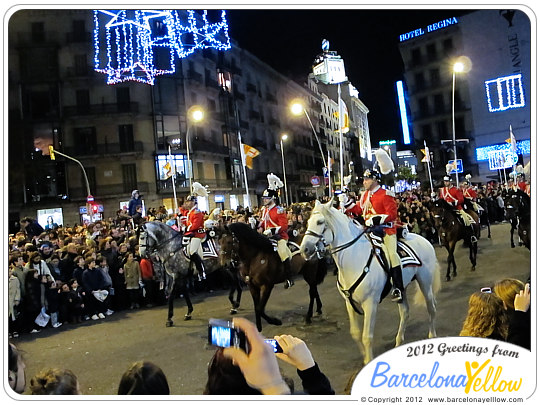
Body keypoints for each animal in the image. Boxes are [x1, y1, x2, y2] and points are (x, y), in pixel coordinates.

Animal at [300, 200, 438, 364]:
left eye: (320, 222)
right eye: (307, 222)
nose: (304, 249)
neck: (354, 258)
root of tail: (424, 240)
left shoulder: (370, 303)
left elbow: (367, 336)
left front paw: (368, 359)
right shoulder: (349, 302)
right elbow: (355, 333)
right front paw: (365, 357)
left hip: (425, 282)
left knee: (431, 308)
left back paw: (432, 336)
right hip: (402, 288)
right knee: (405, 312)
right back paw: (398, 342)